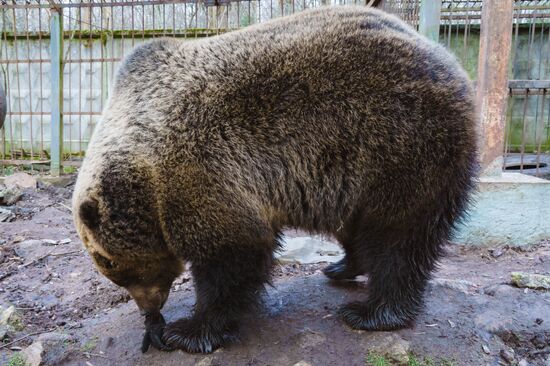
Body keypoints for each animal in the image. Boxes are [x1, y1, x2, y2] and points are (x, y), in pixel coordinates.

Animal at [72, 5, 478, 354]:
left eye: (109, 262)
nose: (150, 309)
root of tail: (449, 60)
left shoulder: (199, 175)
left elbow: (232, 256)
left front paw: (187, 330)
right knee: (357, 226)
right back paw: (341, 267)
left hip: (398, 142)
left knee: (398, 236)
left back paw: (371, 312)